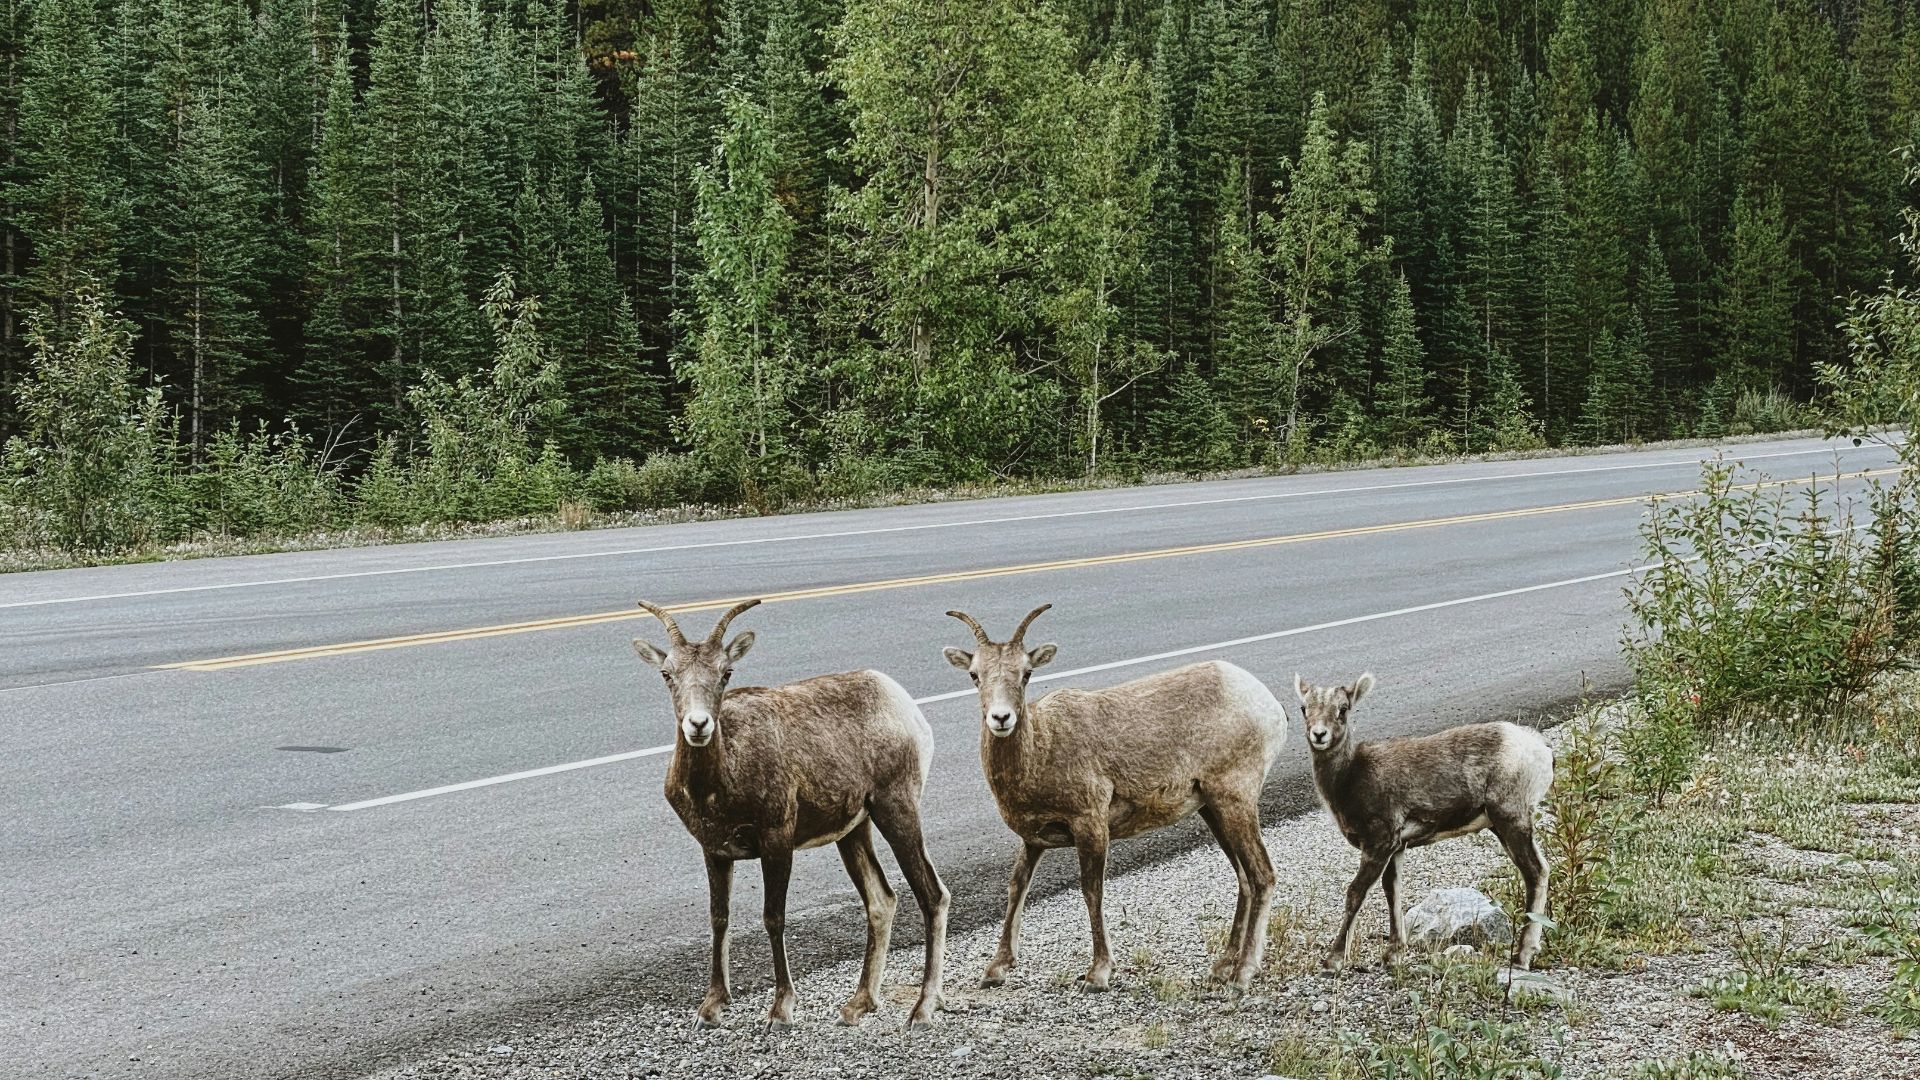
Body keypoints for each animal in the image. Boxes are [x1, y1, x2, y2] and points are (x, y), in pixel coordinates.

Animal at [631, 598, 949, 1029]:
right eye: (668, 674)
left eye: (725, 673)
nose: (698, 725)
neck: (720, 784)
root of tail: (904, 705)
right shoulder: (714, 850)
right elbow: (719, 919)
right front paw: (710, 1008)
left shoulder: (777, 841)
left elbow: (773, 918)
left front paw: (781, 1010)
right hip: (854, 830)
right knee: (881, 900)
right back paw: (857, 1005)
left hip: (896, 810)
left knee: (932, 896)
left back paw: (922, 1010)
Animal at [942, 604, 1291, 992]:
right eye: (974, 675)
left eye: (1026, 674)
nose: (1001, 718)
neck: (1042, 748)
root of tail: (1268, 705)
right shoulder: (1033, 840)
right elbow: (1017, 887)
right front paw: (995, 970)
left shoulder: (1090, 824)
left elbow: (1091, 890)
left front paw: (1098, 973)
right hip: (1212, 809)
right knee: (1244, 878)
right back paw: (1221, 967)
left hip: (1234, 800)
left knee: (1262, 875)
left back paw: (1243, 972)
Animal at [1294, 673, 1554, 970]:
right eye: (1304, 708)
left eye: (1343, 709)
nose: (1319, 735)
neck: (1348, 778)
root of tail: (1539, 747)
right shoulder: (1395, 848)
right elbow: (1392, 891)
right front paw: (1393, 955)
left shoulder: (1378, 844)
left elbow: (1355, 893)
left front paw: (1333, 960)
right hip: (1501, 825)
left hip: (1512, 819)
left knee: (1536, 872)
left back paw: (1521, 957)